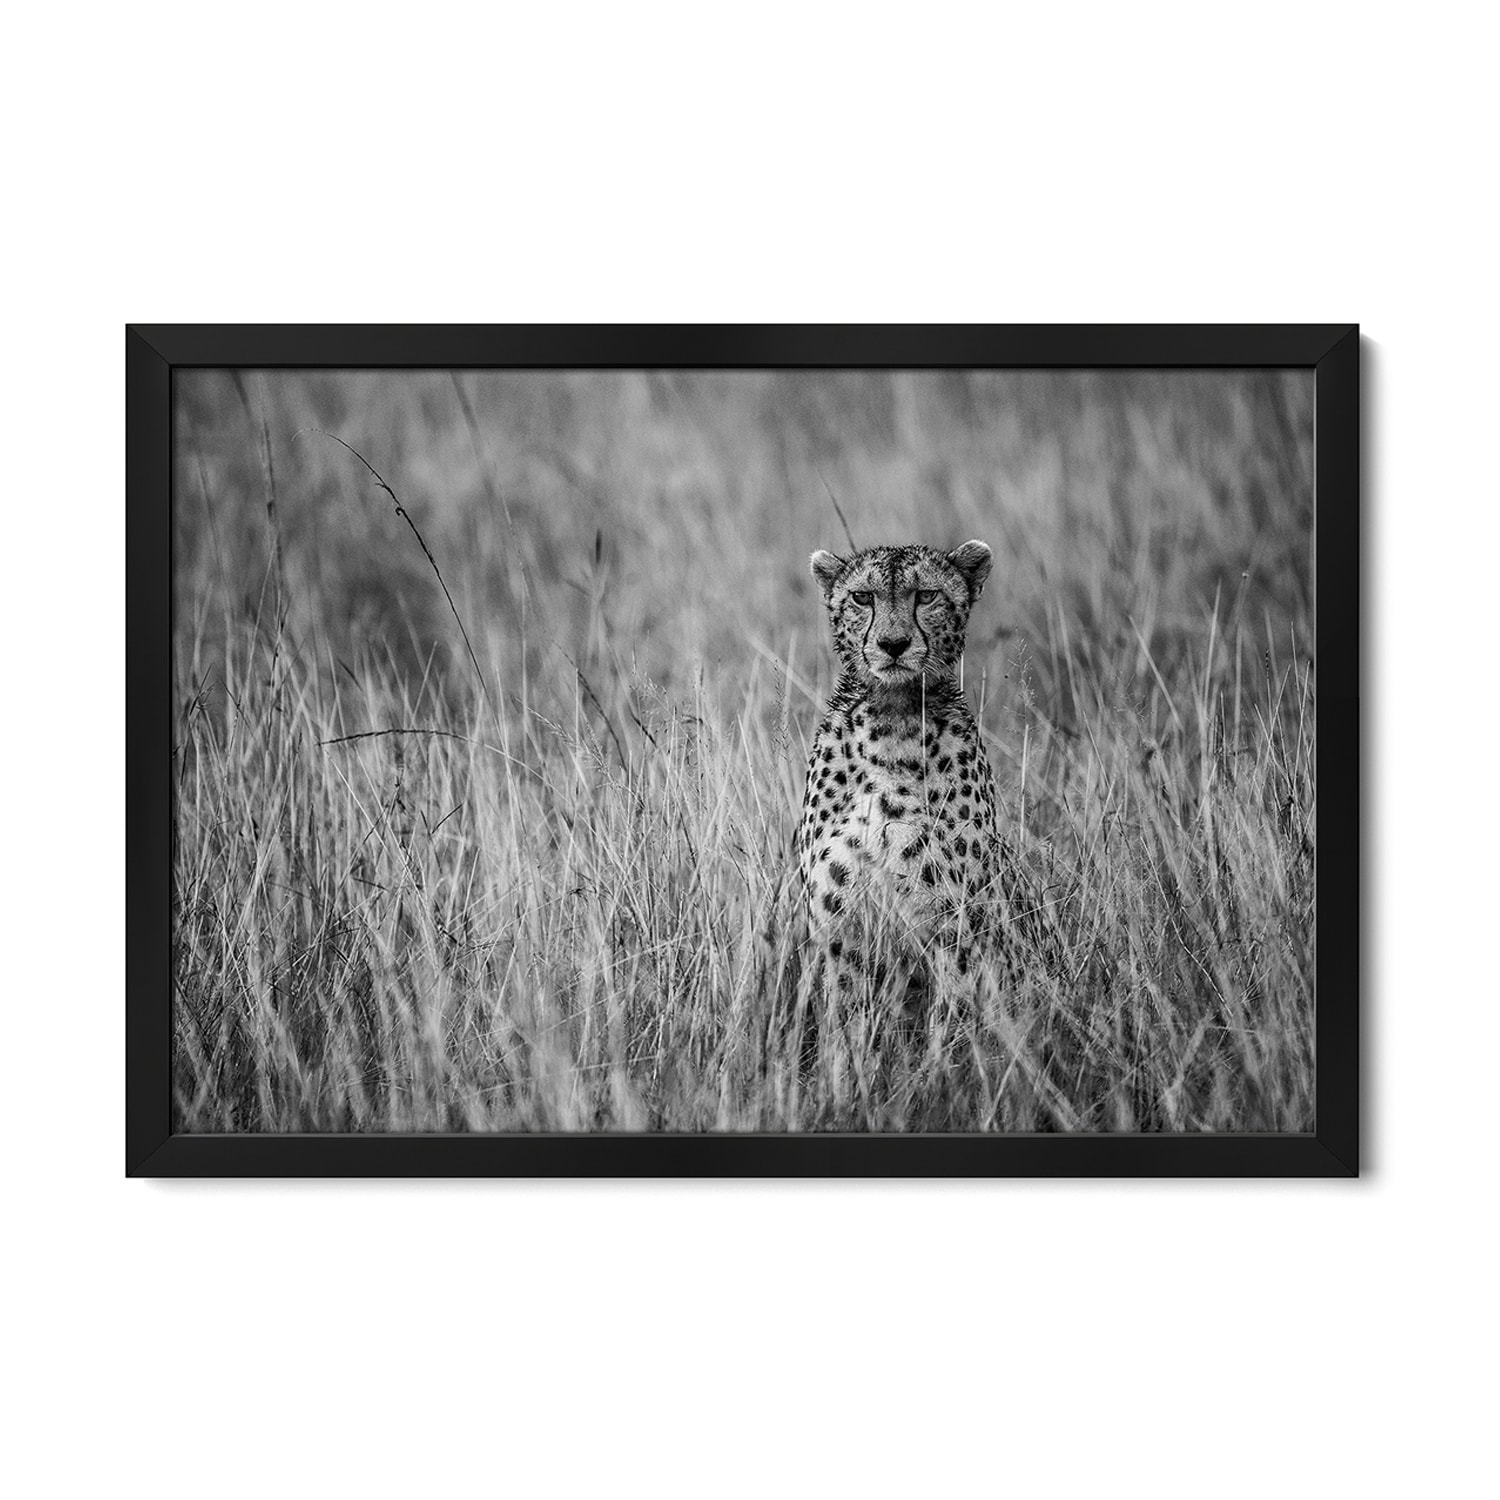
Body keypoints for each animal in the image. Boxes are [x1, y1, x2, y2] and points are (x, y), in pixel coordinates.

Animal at [796, 539, 1011, 1059]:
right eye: (862, 597)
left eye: (926, 595)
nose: (893, 645)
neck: (892, 718)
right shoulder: (842, 930)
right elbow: (846, 1025)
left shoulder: (956, 928)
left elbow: (951, 1027)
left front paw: (938, 1078)